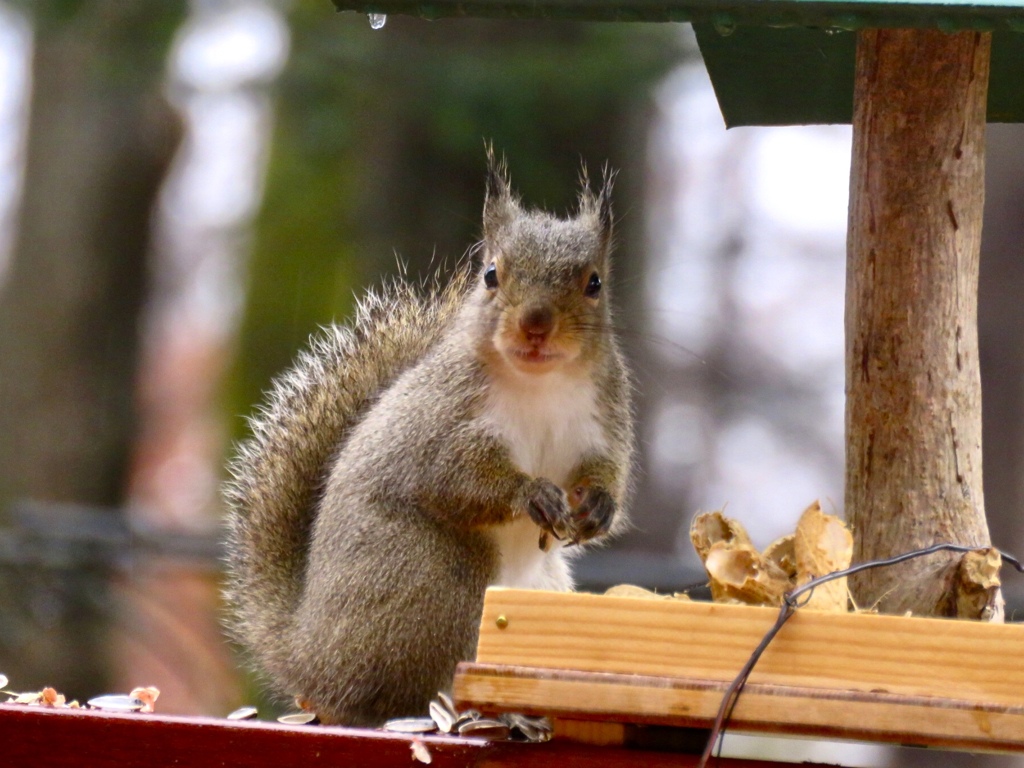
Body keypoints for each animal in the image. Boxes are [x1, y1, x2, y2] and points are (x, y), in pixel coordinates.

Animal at [226, 150, 630, 729]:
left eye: (595, 283)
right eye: (490, 274)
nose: (536, 324)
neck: (539, 383)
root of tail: (309, 655)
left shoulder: (604, 421)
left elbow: (609, 472)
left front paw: (597, 505)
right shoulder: (440, 425)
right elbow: (454, 480)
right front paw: (529, 493)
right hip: (437, 581)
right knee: (395, 696)